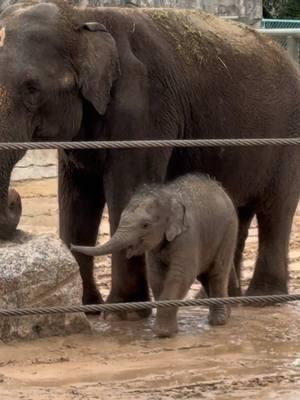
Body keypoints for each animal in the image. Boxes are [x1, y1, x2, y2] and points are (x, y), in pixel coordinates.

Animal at [0, 0, 298, 318]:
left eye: (32, 88)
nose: (14, 199)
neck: (82, 16)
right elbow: (77, 202)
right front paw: (88, 308)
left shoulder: (145, 108)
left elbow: (127, 187)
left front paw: (124, 312)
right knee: (238, 213)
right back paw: (213, 297)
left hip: (287, 140)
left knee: (275, 211)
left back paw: (262, 298)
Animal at [71, 175, 238, 338]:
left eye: (145, 225)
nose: (72, 246)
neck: (167, 197)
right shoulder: (155, 247)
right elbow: (156, 277)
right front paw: (168, 331)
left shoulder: (188, 236)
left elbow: (180, 275)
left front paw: (164, 333)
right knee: (205, 276)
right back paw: (225, 313)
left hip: (229, 231)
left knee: (217, 273)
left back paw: (218, 321)